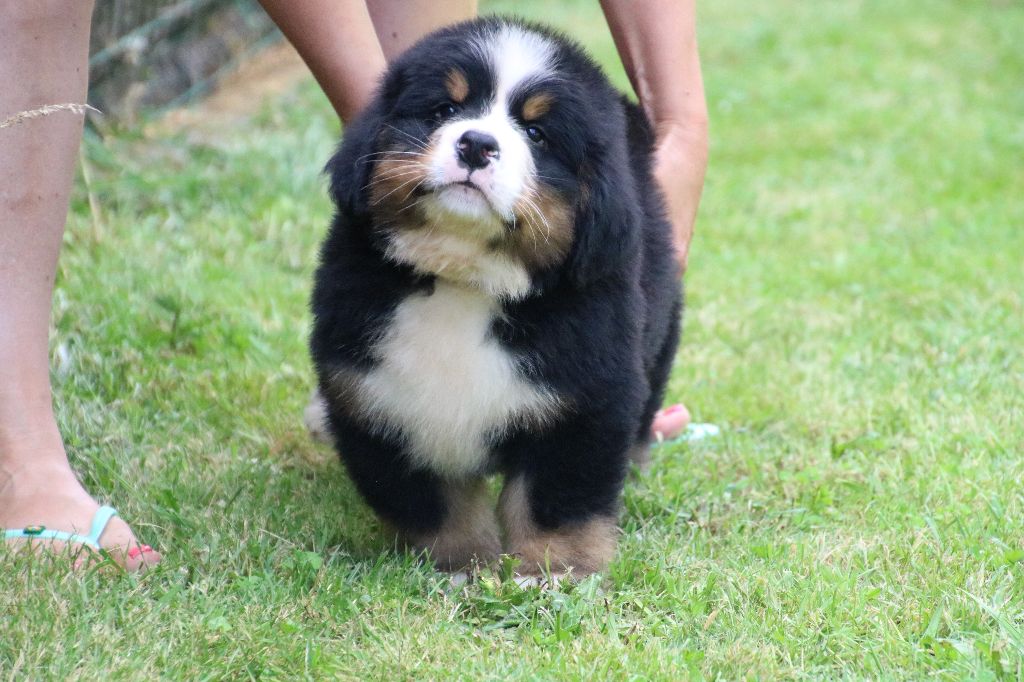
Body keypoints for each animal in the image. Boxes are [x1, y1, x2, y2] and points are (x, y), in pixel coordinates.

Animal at [307, 17, 684, 573]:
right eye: (445, 110)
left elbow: (558, 499)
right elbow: (433, 503)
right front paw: (458, 565)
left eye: (536, 133)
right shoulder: (377, 398)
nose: (477, 144)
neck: (464, 279)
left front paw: (555, 569)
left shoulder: (586, 398)